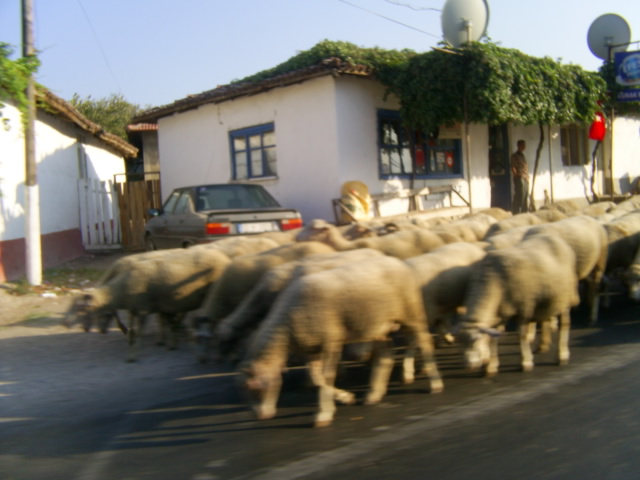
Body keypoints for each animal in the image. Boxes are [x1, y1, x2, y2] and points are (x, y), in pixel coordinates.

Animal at [238, 255, 442, 428]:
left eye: (251, 386)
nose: (258, 416)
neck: (287, 326)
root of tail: (395, 260)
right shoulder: (311, 347)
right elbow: (317, 378)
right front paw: (345, 397)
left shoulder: (331, 340)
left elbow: (327, 375)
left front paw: (324, 414)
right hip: (379, 326)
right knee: (385, 357)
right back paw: (374, 394)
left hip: (411, 314)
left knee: (424, 343)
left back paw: (435, 383)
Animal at [456, 232, 580, 376]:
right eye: (461, 343)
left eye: (475, 340)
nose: (468, 366)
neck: (492, 282)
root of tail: (555, 238)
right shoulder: (500, 314)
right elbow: (493, 339)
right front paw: (491, 367)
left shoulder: (524, 309)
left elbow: (521, 336)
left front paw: (526, 362)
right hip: (548, 298)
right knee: (547, 318)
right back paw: (543, 345)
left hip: (565, 296)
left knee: (565, 323)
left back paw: (562, 355)